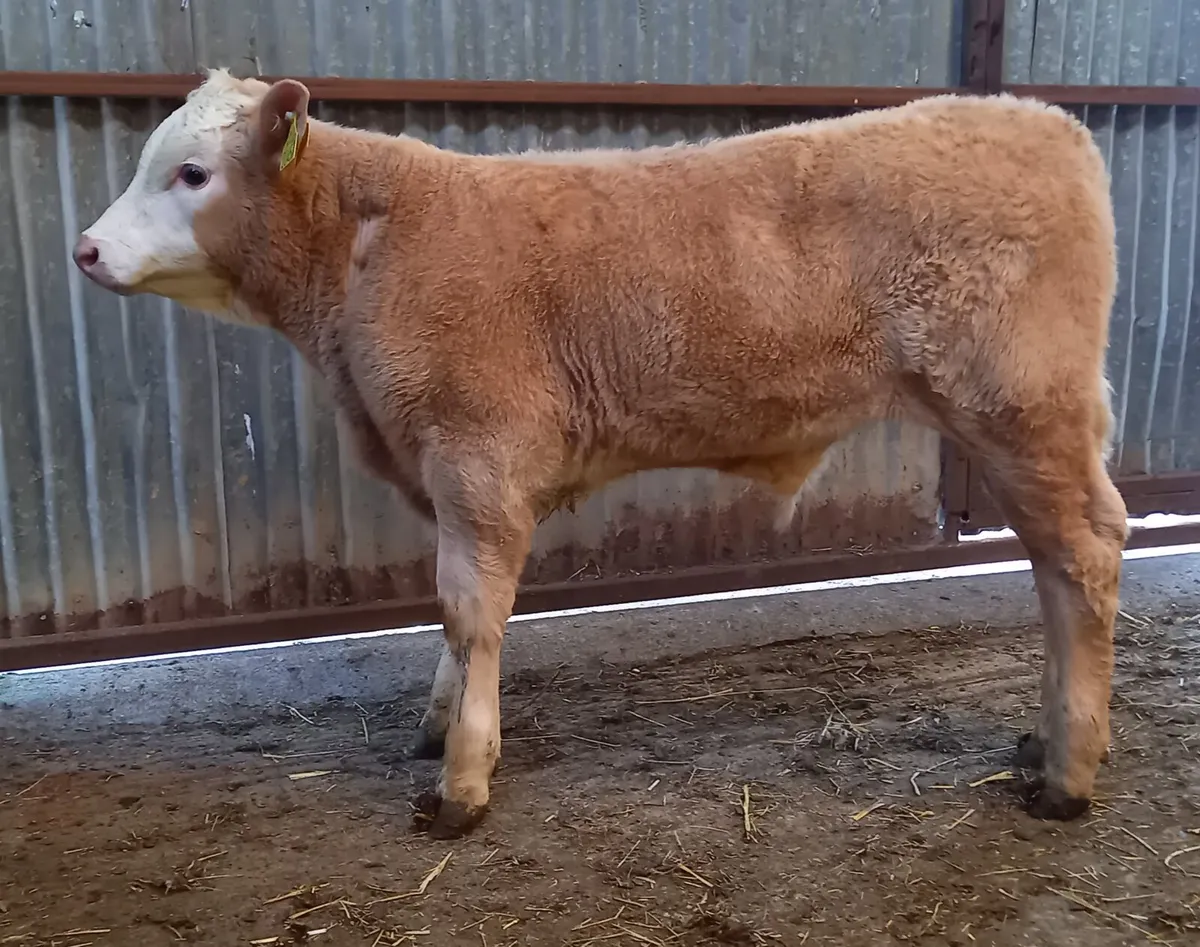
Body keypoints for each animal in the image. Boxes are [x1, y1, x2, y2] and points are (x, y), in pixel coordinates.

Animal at [73, 69, 1127, 839]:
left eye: (192, 173)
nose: (83, 248)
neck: (369, 250)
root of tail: (1042, 122)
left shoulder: (478, 453)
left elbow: (473, 610)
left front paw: (463, 780)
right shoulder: (442, 469)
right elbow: (451, 617)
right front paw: (437, 727)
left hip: (1020, 403)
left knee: (1082, 554)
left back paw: (1066, 774)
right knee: (1061, 560)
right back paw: (1046, 741)